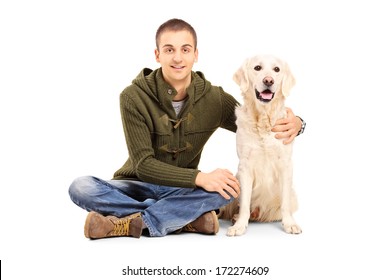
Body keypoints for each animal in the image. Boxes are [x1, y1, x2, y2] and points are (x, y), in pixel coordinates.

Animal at [219, 53, 302, 235]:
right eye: (257, 68)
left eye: (277, 69)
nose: (269, 81)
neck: (264, 120)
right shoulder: (245, 165)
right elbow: (244, 204)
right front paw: (239, 226)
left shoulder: (286, 164)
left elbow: (285, 203)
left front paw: (289, 223)